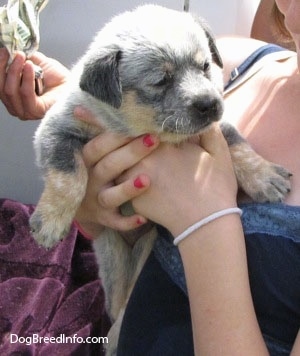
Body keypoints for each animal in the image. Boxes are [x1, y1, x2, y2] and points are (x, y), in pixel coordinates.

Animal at [30, 4, 290, 354]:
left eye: (205, 66)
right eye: (161, 80)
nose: (210, 103)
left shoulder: (217, 128)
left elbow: (238, 144)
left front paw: (264, 176)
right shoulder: (56, 129)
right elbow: (68, 176)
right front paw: (51, 223)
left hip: (146, 250)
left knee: (129, 305)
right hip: (113, 265)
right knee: (119, 304)